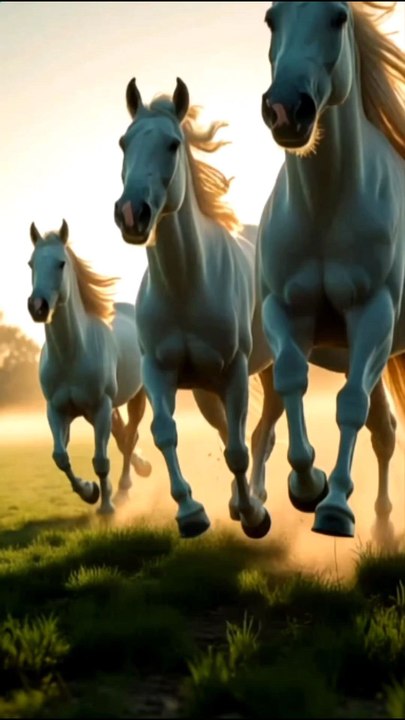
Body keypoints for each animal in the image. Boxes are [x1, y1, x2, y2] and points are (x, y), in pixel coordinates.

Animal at [27, 220, 152, 515]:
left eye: (61, 263)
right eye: (31, 263)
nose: (37, 307)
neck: (71, 355)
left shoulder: (101, 407)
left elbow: (101, 461)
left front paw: (106, 507)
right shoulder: (57, 410)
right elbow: (60, 457)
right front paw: (89, 492)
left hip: (135, 399)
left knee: (129, 437)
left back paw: (124, 489)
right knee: (123, 436)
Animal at [259, 0, 405, 538]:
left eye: (339, 16)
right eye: (271, 18)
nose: (286, 109)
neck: (325, 207)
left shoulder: (372, 315)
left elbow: (350, 406)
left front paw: (337, 508)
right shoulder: (284, 311)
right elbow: (292, 379)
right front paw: (308, 485)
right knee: (384, 431)